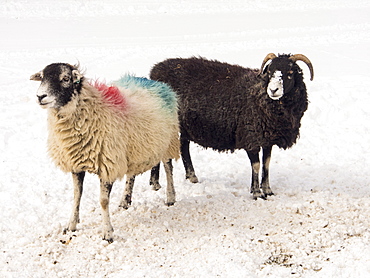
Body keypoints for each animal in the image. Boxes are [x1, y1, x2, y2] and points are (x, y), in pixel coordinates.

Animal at [30, 63, 179, 241]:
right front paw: (71, 226)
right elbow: (76, 196)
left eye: (65, 78)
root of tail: (154, 82)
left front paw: (107, 233)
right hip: (133, 149)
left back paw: (170, 197)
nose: (40, 96)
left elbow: (103, 201)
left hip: (169, 142)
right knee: (131, 175)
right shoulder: (76, 164)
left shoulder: (108, 165)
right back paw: (125, 201)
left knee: (169, 168)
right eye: (42, 77)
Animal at [149, 53, 314, 199]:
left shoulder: (267, 139)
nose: (273, 90)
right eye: (269, 71)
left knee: (184, 146)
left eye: (290, 73)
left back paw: (191, 176)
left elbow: (266, 164)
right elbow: (256, 165)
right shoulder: (251, 137)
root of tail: (154, 70)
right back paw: (155, 183)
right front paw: (257, 193)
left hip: (184, 126)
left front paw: (267, 190)